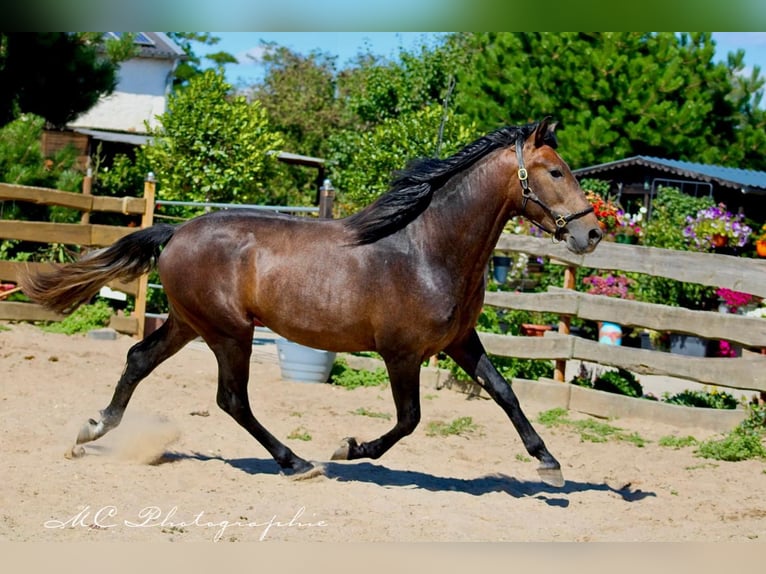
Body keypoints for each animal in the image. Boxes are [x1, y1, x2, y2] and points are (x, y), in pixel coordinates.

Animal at [21, 119, 604, 488]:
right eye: (556, 172)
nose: (592, 233)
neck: (426, 248)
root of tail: (177, 230)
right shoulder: (401, 353)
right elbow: (410, 419)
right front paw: (349, 448)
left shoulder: (459, 340)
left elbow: (504, 392)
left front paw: (548, 462)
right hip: (229, 332)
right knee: (232, 399)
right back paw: (297, 462)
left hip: (188, 323)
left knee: (139, 360)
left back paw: (91, 430)